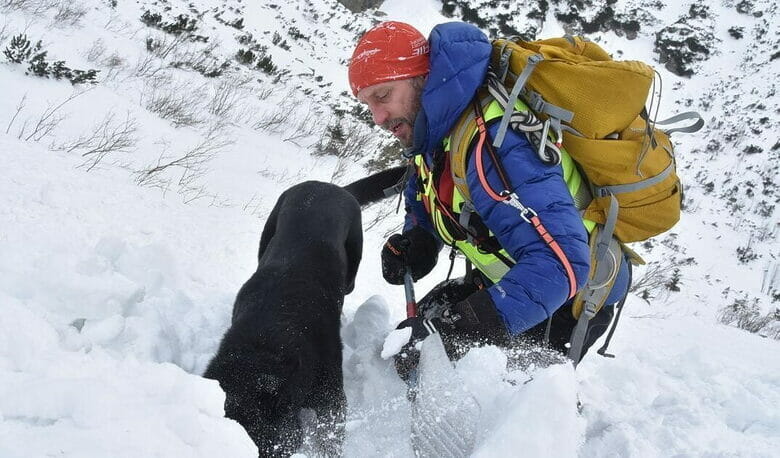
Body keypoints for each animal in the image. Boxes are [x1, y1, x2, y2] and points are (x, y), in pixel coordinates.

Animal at [201, 170, 402, 456]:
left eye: (271, 449)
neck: (266, 340)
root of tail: (331, 187)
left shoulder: (331, 399)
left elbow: (330, 437)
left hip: (353, 257)